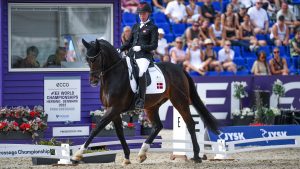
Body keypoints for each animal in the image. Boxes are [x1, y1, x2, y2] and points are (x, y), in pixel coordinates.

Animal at [71, 38, 219, 165]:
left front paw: (77, 156)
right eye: (87, 59)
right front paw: (126, 157)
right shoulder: (113, 110)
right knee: (158, 126)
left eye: (96, 59)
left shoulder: (114, 108)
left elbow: (97, 129)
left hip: (179, 101)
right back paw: (142, 154)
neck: (114, 74)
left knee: (190, 124)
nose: (93, 81)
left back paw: (196, 156)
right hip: (152, 106)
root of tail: (180, 69)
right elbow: (119, 133)